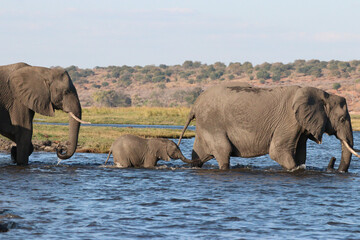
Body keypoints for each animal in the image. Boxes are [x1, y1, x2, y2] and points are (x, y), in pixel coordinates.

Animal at [178, 83, 360, 172]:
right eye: (342, 118)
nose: (334, 162)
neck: (323, 94)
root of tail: (194, 106)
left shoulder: (301, 126)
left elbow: (300, 154)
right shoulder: (289, 121)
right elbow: (278, 151)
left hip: (205, 125)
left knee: (199, 156)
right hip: (212, 123)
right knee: (223, 152)